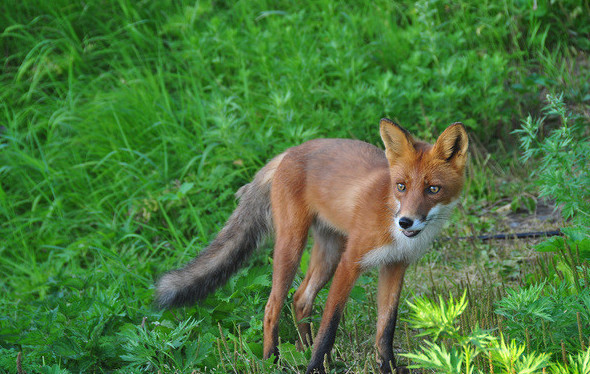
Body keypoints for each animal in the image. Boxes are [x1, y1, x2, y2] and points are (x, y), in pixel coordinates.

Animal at [155, 118, 470, 372]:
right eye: (401, 186)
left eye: (433, 189)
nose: (406, 222)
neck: (389, 215)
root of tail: (290, 151)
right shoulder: (350, 263)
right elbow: (330, 324)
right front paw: (315, 367)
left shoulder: (394, 266)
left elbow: (386, 328)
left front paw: (388, 367)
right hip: (293, 246)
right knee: (272, 306)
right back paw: (272, 360)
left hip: (328, 253)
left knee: (301, 298)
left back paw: (304, 349)